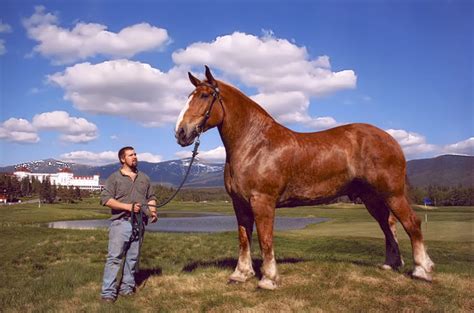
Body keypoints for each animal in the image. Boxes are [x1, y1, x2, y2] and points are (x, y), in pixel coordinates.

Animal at [174, 66, 434, 290]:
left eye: (205, 95)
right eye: (189, 96)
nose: (181, 132)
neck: (255, 144)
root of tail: (391, 140)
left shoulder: (263, 201)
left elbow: (265, 239)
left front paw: (268, 279)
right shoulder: (240, 203)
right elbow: (244, 239)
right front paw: (240, 274)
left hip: (393, 193)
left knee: (412, 223)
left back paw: (422, 270)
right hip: (372, 198)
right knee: (387, 225)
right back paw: (391, 264)